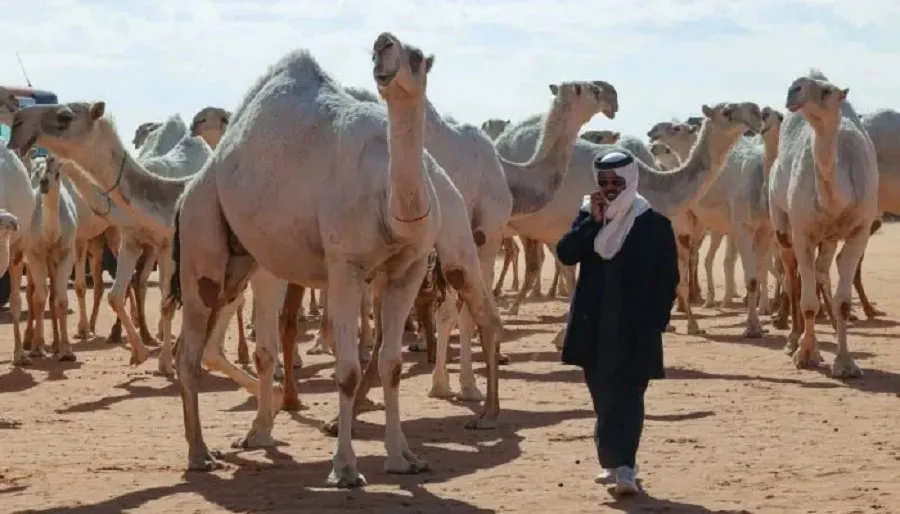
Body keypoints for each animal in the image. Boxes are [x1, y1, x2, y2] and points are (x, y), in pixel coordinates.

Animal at [769, 69, 877, 378]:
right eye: (796, 85)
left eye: (828, 91)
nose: (794, 90)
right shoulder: (803, 232)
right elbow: (807, 301)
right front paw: (806, 355)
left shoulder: (859, 231)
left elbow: (843, 302)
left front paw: (846, 363)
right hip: (780, 221)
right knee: (791, 275)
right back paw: (792, 340)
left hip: (828, 238)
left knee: (820, 270)